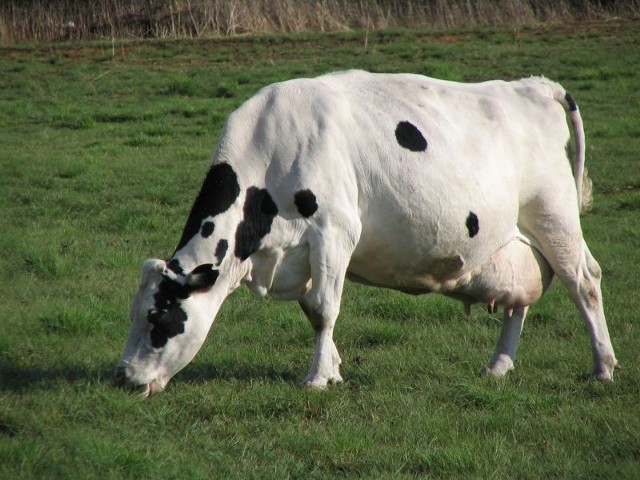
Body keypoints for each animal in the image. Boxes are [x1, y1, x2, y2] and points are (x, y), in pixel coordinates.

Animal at [114, 68, 616, 398]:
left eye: (157, 318)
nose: (123, 377)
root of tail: (533, 85)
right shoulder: (305, 253)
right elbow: (314, 311)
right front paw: (334, 368)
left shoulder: (334, 230)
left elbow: (324, 308)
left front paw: (317, 379)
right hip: (515, 239)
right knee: (521, 297)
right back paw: (497, 367)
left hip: (554, 215)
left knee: (584, 281)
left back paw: (603, 368)